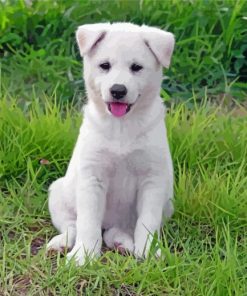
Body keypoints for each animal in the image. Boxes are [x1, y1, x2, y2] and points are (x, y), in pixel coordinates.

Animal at [45, 22, 174, 264]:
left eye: (136, 67)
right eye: (105, 65)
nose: (118, 90)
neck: (121, 126)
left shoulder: (152, 180)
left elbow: (147, 222)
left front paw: (149, 252)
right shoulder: (92, 177)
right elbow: (87, 223)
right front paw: (83, 255)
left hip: (165, 203)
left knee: (117, 230)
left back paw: (122, 243)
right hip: (58, 193)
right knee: (72, 225)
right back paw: (61, 243)